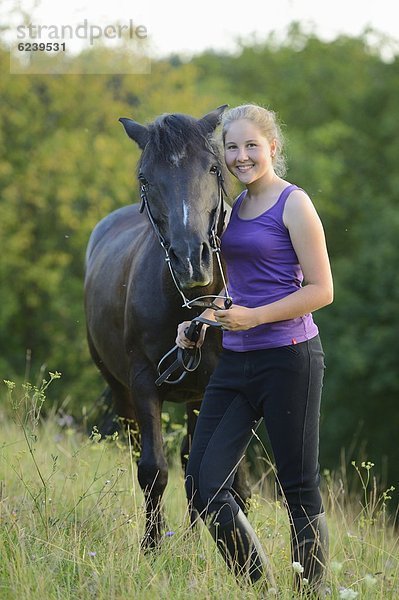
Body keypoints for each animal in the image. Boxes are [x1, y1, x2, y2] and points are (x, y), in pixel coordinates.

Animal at [85, 108, 250, 548]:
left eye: (213, 168)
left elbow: (212, 472)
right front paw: (152, 547)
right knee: (136, 450)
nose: (192, 260)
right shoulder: (143, 381)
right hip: (120, 389)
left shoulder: (216, 389)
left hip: (196, 396)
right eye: (146, 178)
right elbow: (154, 470)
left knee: (191, 459)